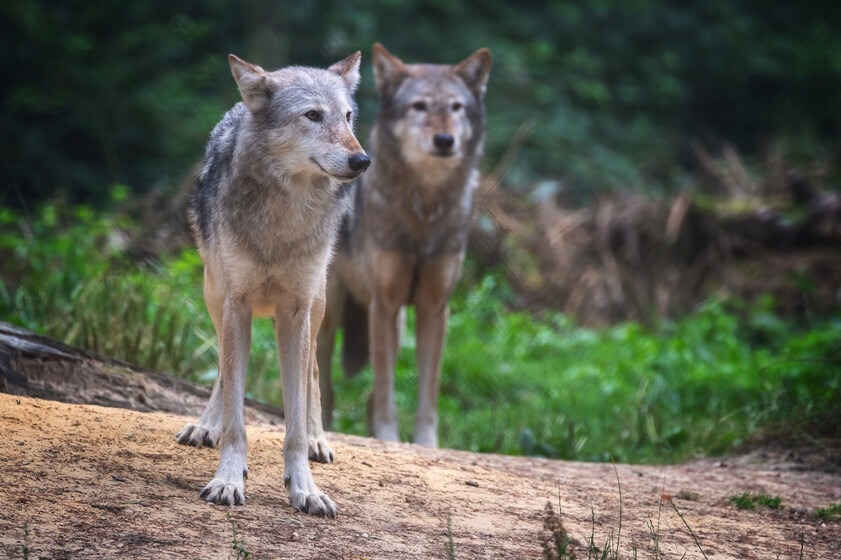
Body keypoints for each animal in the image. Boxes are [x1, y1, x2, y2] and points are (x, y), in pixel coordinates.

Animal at [176, 51, 370, 516]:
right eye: (313, 115)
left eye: (348, 117)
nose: (362, 160)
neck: (284, 215)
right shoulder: (237, 304)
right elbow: (235, 413)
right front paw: (228, 479)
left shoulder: (297, 311)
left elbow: (294, 422)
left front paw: (306, 488)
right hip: (215, 295)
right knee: (224, 372)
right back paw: (205, 426)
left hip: (316, 305)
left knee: (314, 372)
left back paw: (320, 440)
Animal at [318, 42, 496, 446]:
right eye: (419, 106)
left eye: (456, 107)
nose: (445, 140)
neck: (423, 214)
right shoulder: (383, 304)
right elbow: (385, 391)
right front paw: (388, 439)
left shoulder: (433, 308)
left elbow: (427, 393)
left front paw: (425, 446)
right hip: (329, 314)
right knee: (323, 383)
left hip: (396, 323)